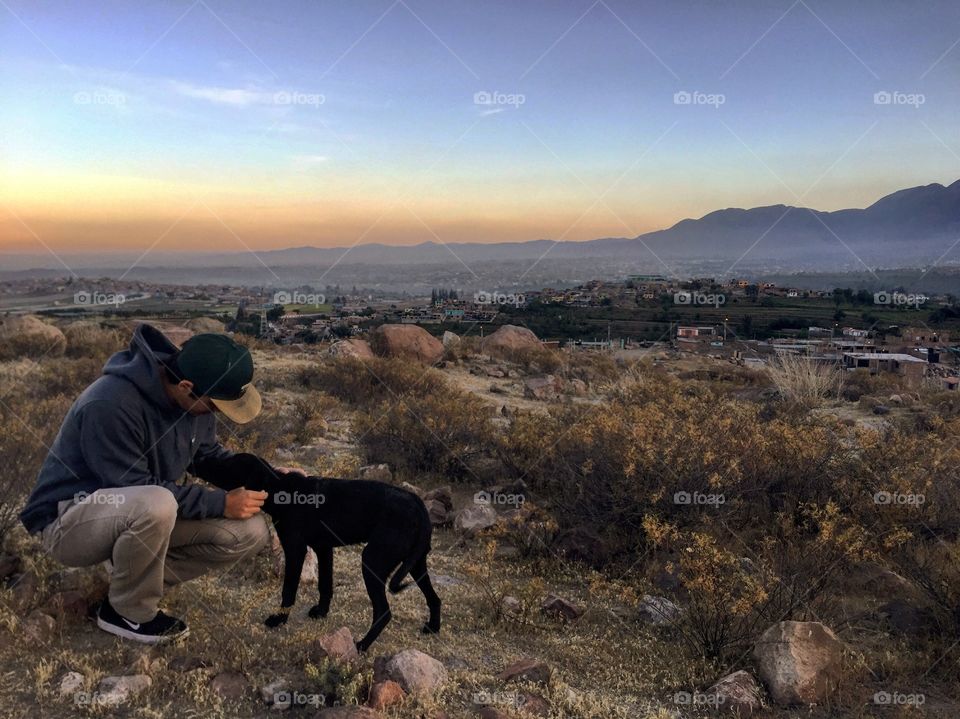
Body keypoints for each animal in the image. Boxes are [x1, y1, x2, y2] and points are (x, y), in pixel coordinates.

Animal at [202, 456, 442, 652]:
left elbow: (288, 590)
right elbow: (325, 585)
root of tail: (419, 505)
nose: (202, 460)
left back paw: (361, 645)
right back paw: (432, 627)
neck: (279, 487)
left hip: (372, 560)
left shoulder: (295, 550)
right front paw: (321, 612)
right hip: (416, 564)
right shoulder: (323, 548)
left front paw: (279, 620)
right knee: (435, 598)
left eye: (229, 464)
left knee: (384, 612)